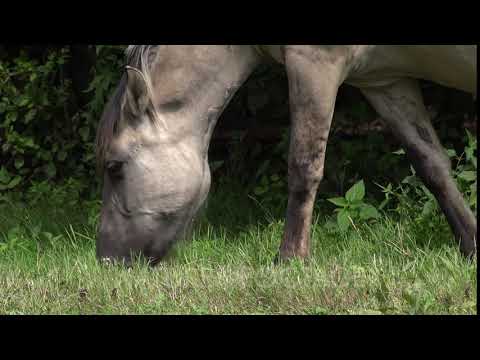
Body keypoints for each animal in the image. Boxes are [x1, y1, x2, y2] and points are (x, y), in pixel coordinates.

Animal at [94, 44, 476, 264]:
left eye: (114, 166)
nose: (107, 261)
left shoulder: (314, 63)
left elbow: (304, 166)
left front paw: (290, 259)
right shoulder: (385, 83)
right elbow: (432, 165)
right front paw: (471, 245)